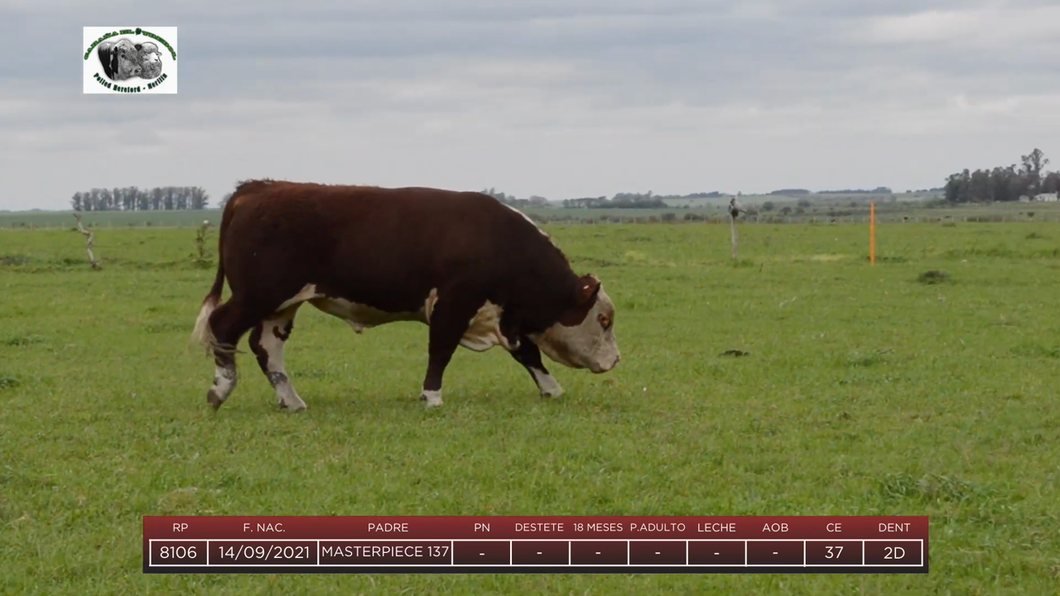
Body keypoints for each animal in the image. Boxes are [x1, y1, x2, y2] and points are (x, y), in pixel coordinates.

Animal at [190, 181, 619, 411]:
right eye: (604, 319)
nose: (615, 360)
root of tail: (260, 187)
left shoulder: (501, 315)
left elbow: (527, 354)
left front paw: (551, 389)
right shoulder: (453, 304)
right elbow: (441, 351)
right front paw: (432, 397)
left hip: (281, 305)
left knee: (266, 347)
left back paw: (291, 400)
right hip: (257, 294)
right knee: (222, 326)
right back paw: (220, 389)